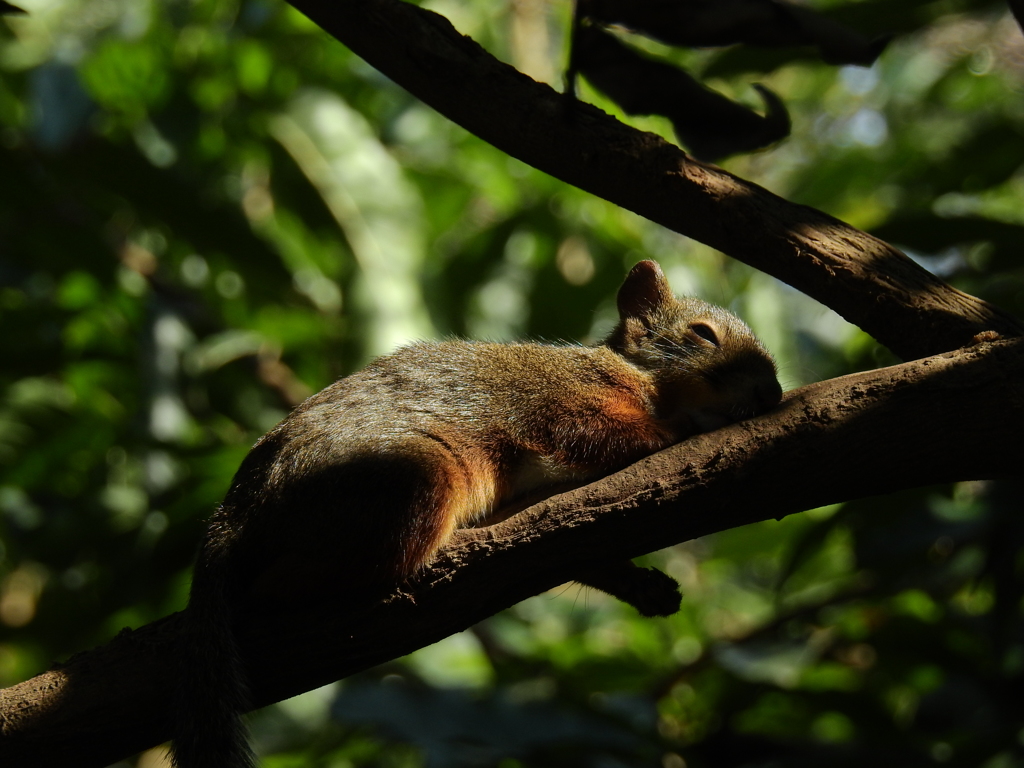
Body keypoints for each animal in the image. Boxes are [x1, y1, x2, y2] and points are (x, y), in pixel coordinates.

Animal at [172, 260, 782, 768]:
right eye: (703, 334)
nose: (772, 392)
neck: (630, 376)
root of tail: (235, 513)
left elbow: (588, 550)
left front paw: (643, 586)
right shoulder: (563, 402)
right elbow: (605, 432)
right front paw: (683, 428)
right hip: (410, 478)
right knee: (288, 582)